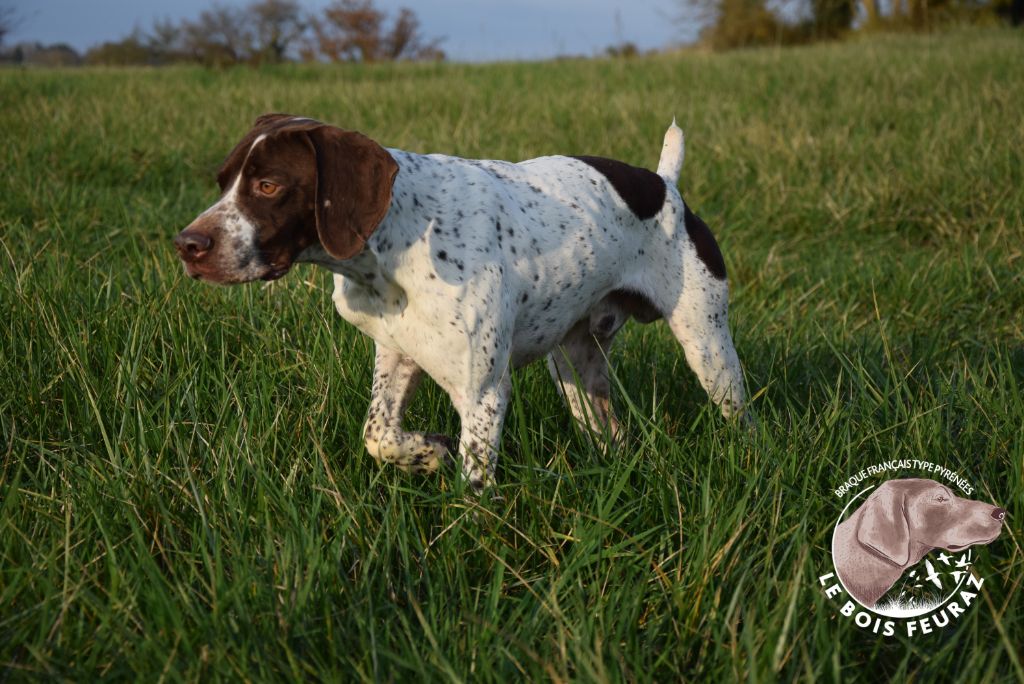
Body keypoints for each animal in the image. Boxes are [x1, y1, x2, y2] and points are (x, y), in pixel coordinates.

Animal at [174, 113, 753, 491]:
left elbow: (474, 490)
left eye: (269, 186)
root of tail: (667, 186)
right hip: (574, 364)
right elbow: (379, 435)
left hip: (707, 347)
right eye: (223, 182)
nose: (187, 245)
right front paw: (429, 452)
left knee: (739, 415)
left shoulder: (483, 391)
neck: (398, 238)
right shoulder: (396, 354)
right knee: (611, 432)